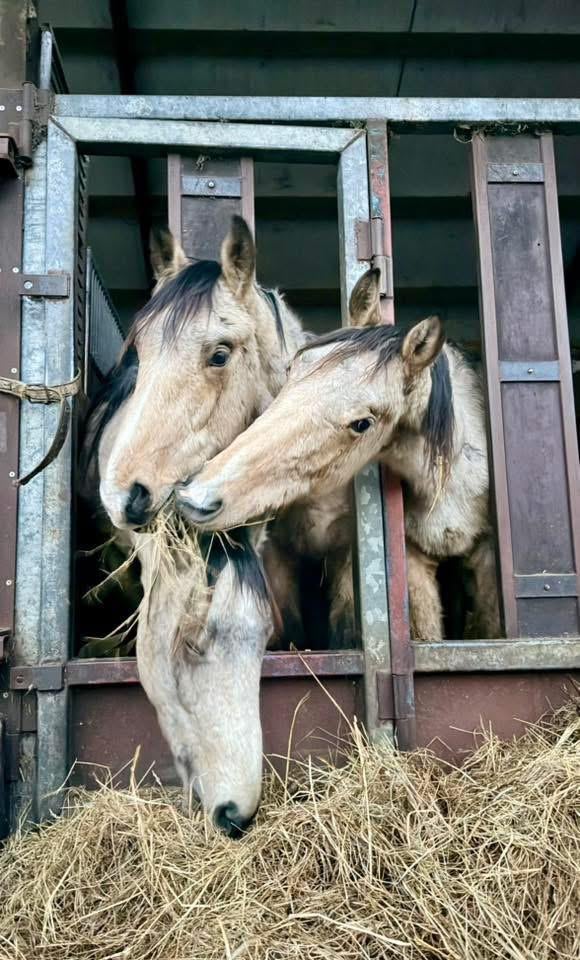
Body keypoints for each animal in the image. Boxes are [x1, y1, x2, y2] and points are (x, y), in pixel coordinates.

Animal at [177, 267, 501, 642]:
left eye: (362, 424)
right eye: (292, 371)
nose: (197, 498)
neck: (454, 478)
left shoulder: (487, 560)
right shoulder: (414, 564)